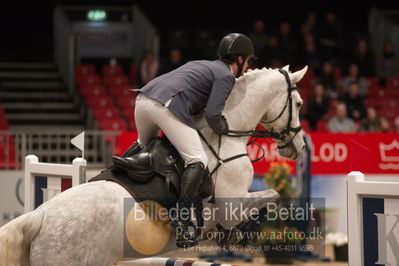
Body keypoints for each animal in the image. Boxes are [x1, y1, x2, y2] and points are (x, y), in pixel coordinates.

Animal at [0, 65, 308, 266]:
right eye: (299, 103)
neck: (226, 136)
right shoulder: (232, 204)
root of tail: (38, 217)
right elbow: (272, 195)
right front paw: (240, 234)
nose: (298, 146)